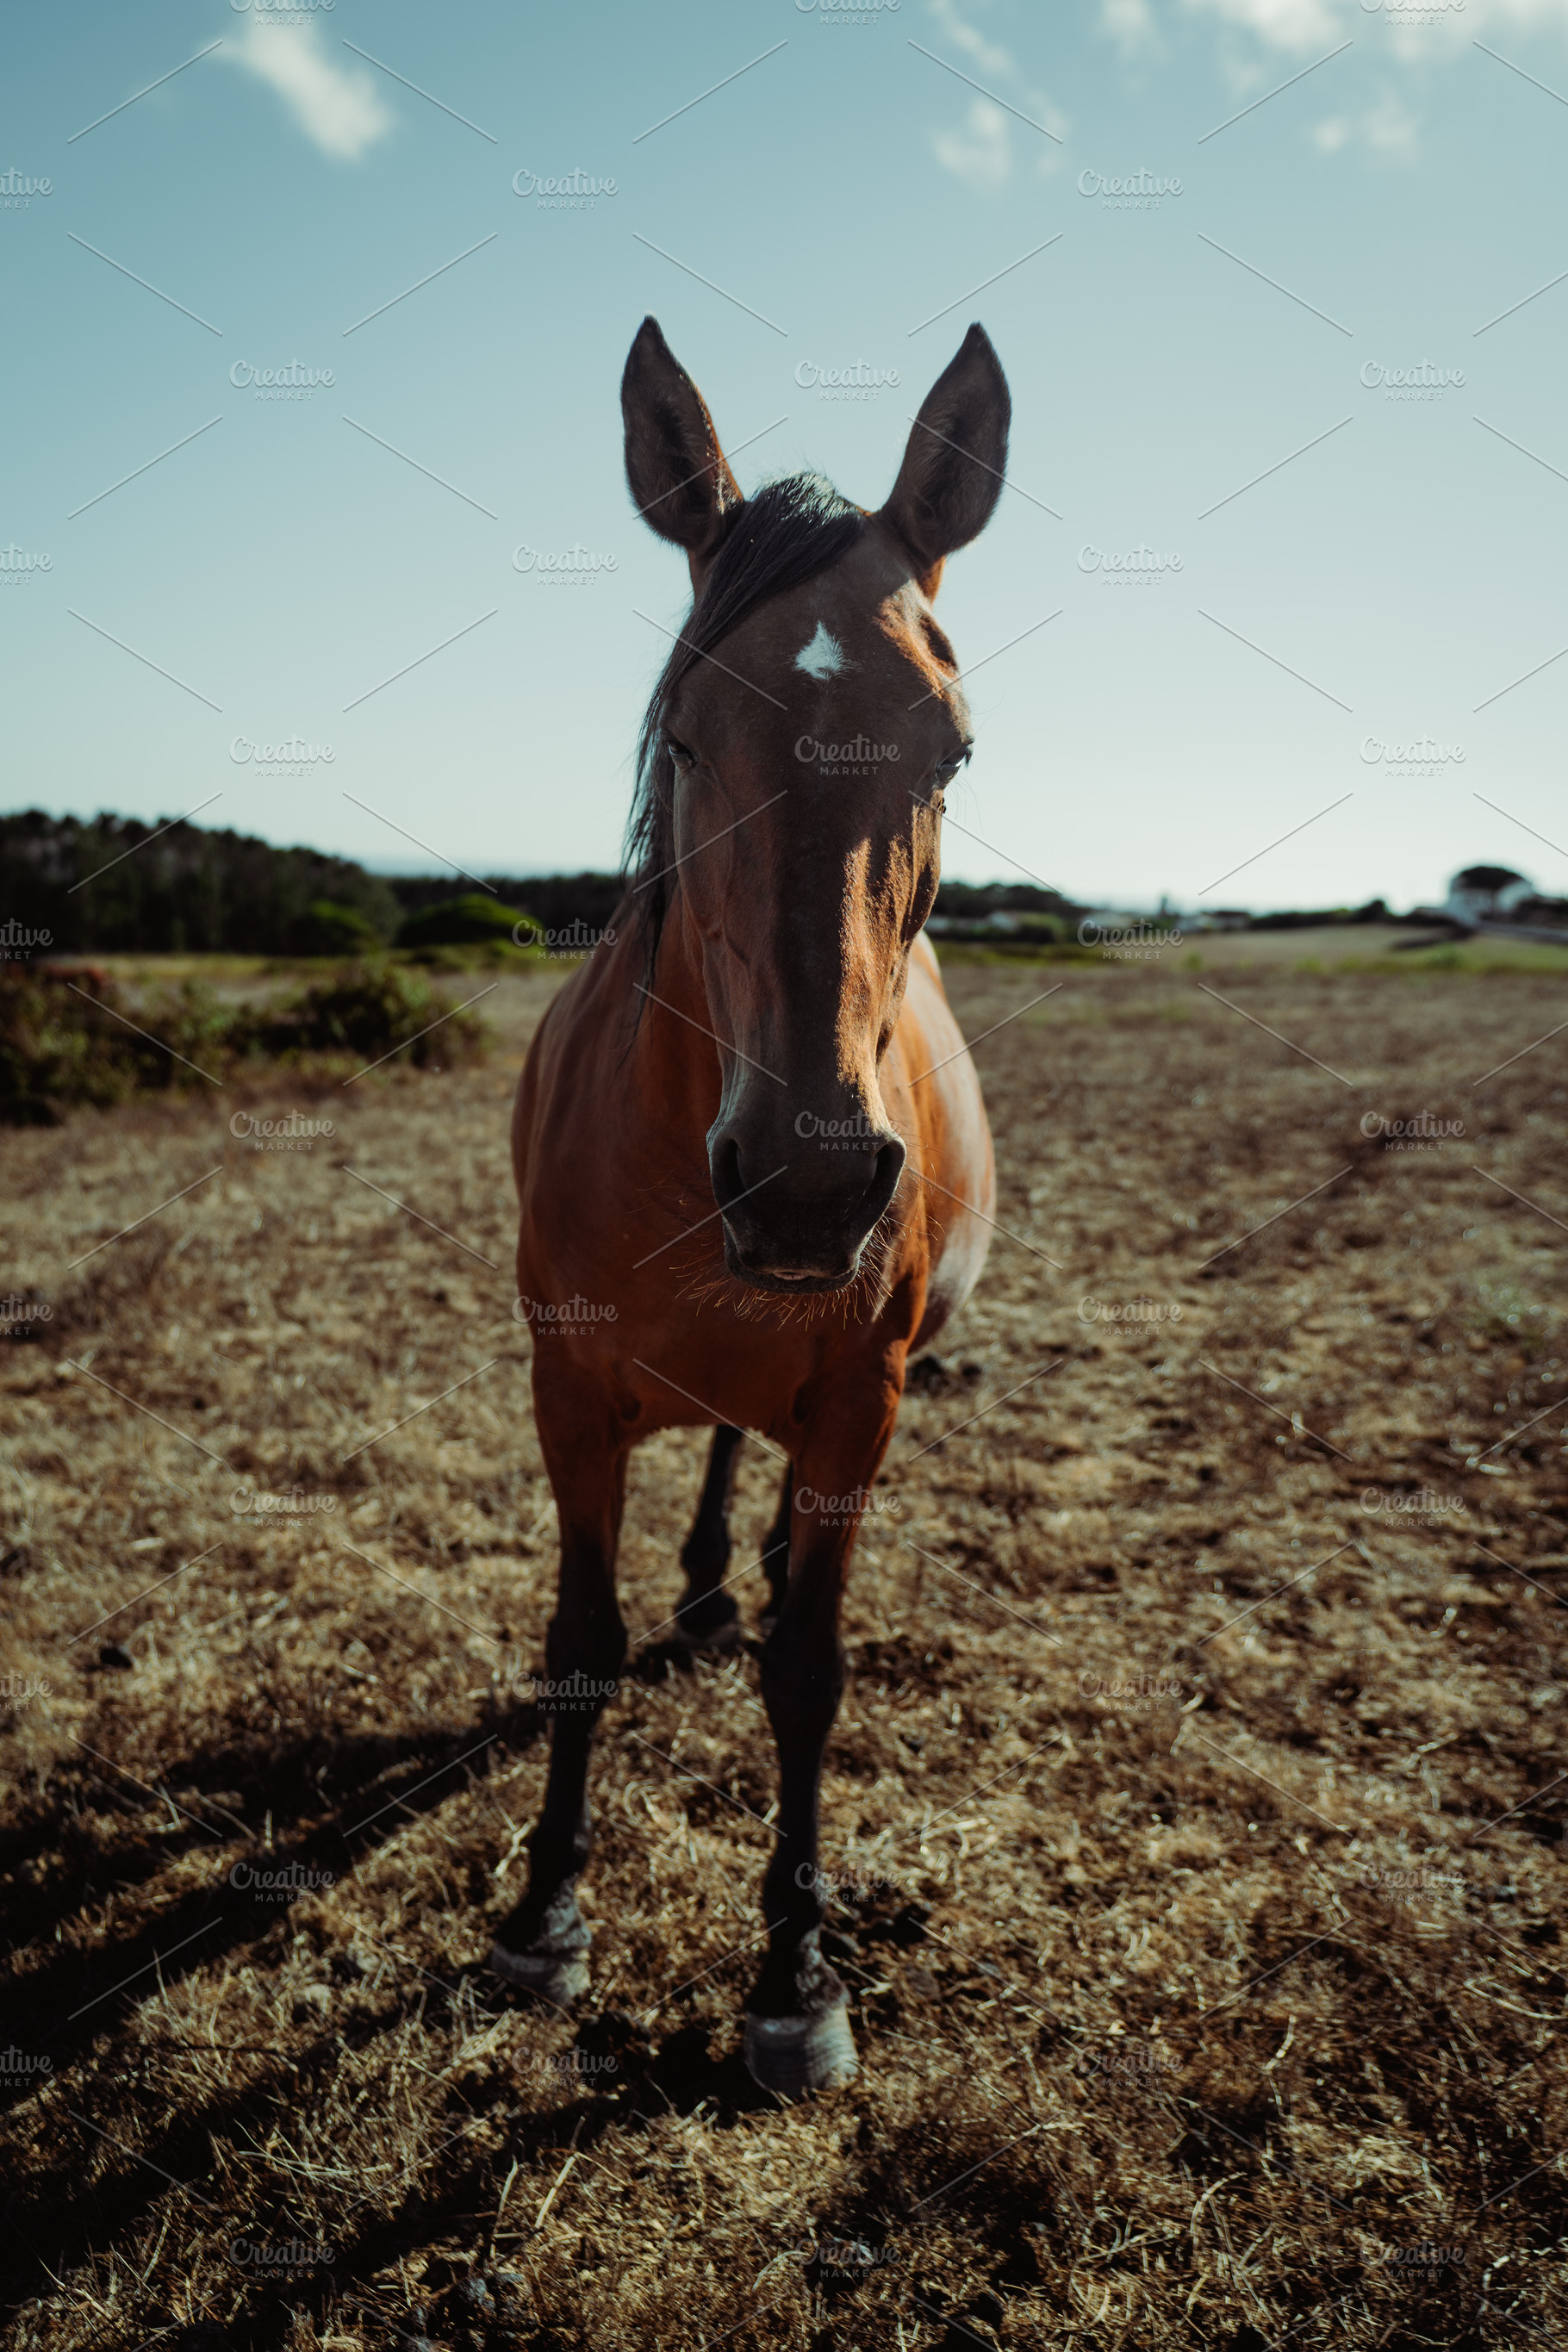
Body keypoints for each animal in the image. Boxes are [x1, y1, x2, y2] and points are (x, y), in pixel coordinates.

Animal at [489, 314, 1009, 2094]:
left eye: (952, 747)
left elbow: (811, 1672)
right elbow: (580, 1639)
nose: (811, 1176)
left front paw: (794, 1969)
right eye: (686, 731)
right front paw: (543, 1913)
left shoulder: (860, 1397)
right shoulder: (568, 1388)